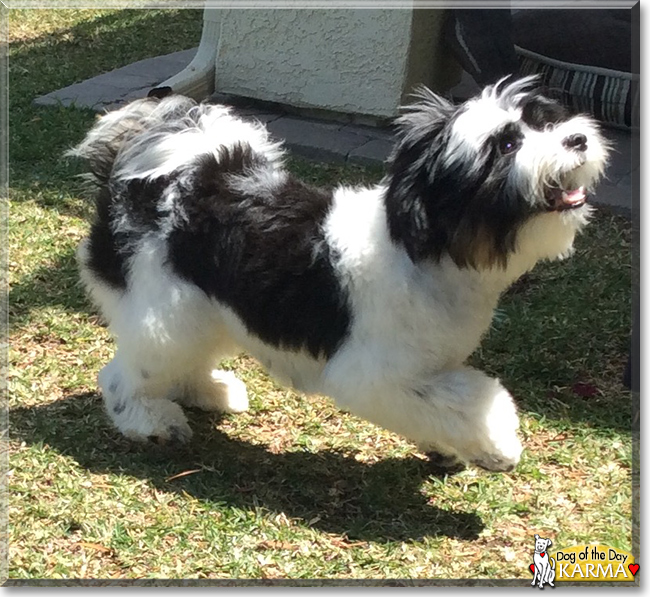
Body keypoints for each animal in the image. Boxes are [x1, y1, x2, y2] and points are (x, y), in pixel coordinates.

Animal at [71, 77, 608, 472]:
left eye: (546, 120)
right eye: (507, 143)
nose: (578, 138)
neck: (422, 249)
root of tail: (176, 173)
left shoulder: (431, 366)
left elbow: (449, 402)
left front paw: (450, 447)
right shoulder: (374, 374)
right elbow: (473, 402)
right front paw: (496, 447)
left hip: (207, 310)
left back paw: (207, 391)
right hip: (168, 311)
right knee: (122, 375)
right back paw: (149, 419)